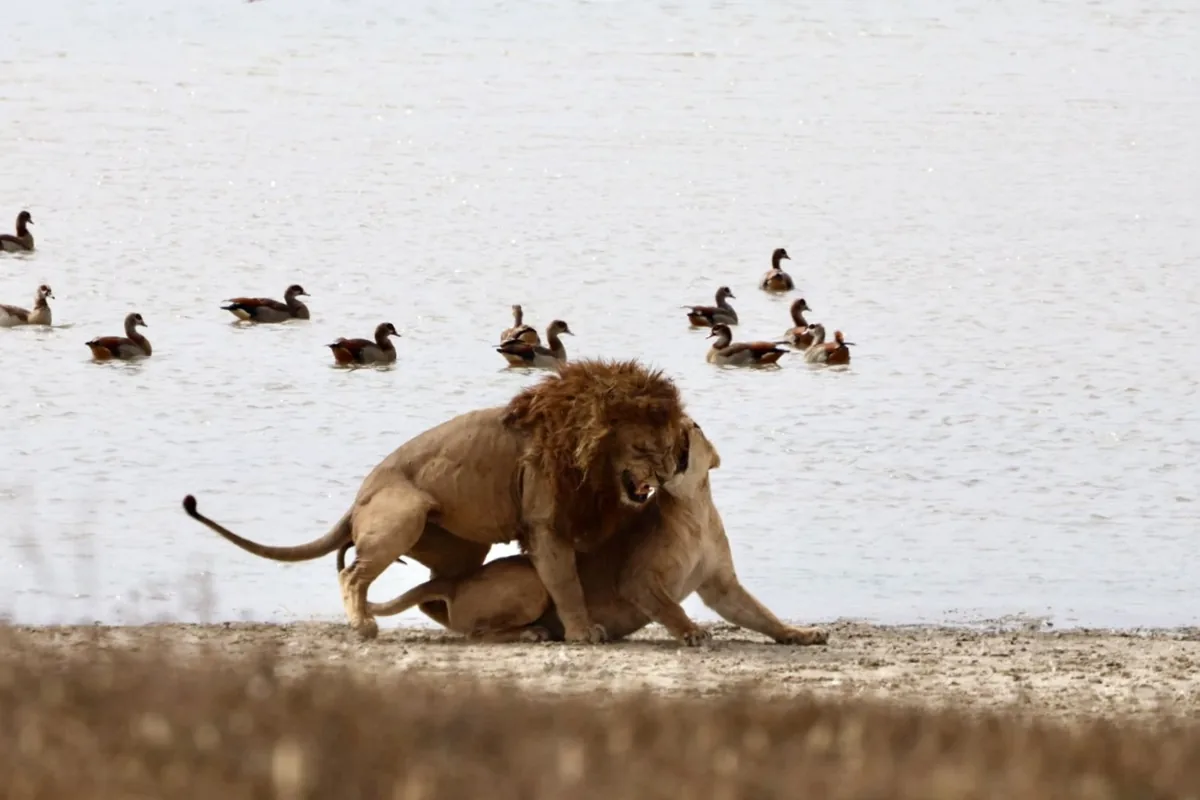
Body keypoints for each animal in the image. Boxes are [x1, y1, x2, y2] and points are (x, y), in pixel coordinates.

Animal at [182, 358, 687, 643]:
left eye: (668, 446)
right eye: (643, 448)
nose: (668, 473)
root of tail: (358, 498)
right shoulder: (545, 523)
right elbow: (566, 583)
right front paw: (583, 633)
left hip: (459, 546)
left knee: (438, 591)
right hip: (403, 513)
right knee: (352, 573)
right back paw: (364, 626)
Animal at [359, 416, 829, 647]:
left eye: (694, 429)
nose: (681, 423)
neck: (694, 509)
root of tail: (455, 583)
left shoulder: (721, 586)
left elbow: (761, 614)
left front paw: (802, 635)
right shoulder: (639, 579)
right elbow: (671, 609)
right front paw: (693, 633)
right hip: (531, 581)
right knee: (477, 633)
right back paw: (535, 633)